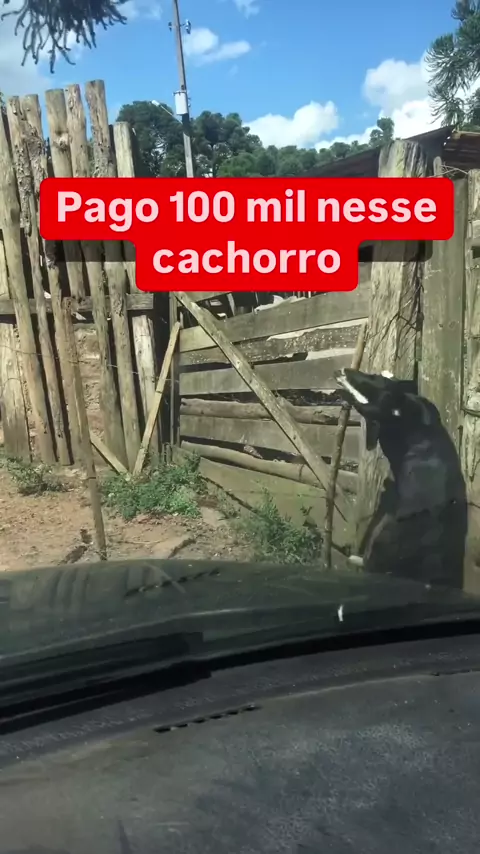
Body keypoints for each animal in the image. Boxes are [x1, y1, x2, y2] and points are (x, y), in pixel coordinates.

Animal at [335, 368, 467, 589]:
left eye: (373, 377)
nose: (343, 369)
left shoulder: (383, 410)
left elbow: (368, 407)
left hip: (387, 532)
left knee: (377, 561)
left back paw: (357, 559)